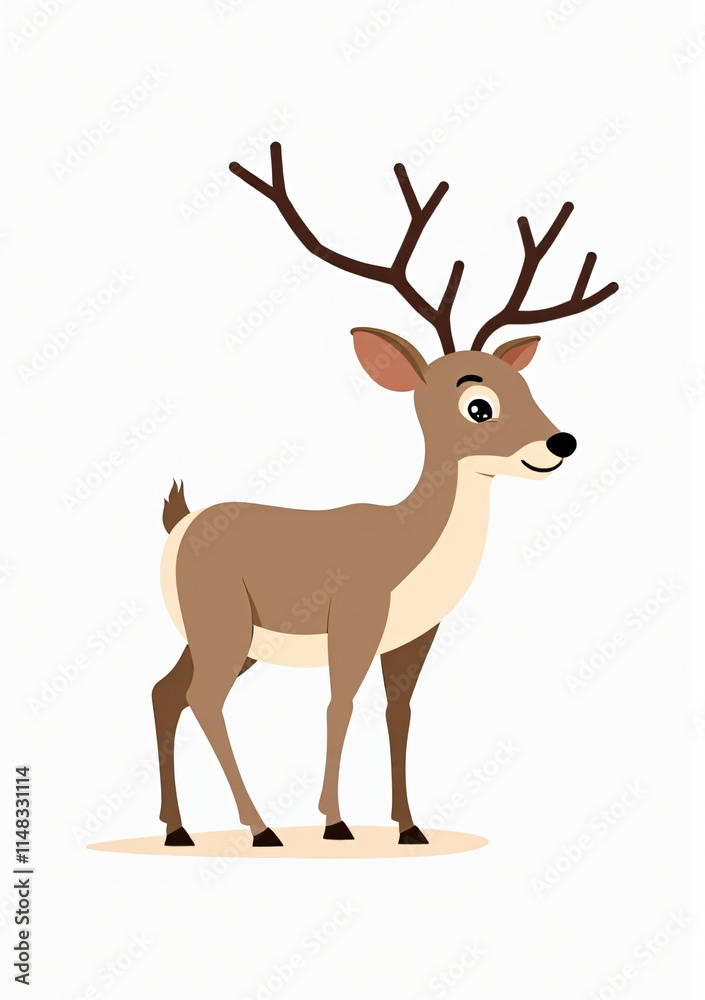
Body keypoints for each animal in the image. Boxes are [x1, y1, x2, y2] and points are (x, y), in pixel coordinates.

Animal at [152, 142, 618, 849]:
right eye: (478, 403)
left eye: (524, 382)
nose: (560, 442)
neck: (409, 544)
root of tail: (178, 522)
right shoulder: (355, 617)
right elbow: (340, 703)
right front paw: (335, 821)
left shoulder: (412, 636)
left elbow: (400, 711)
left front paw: (409, 825)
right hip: (224, 625)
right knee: (203, 699)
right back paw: (260, 828)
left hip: (225, 637)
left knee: (167, 692)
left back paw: (179, 829)